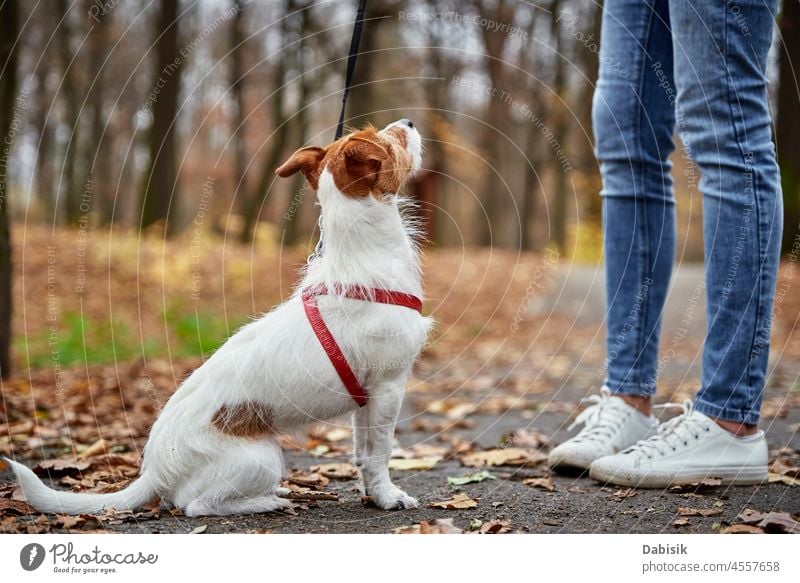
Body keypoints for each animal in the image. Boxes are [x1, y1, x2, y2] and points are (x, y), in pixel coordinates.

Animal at [6, 118, 432, 516]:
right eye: (389, 139)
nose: (409, 122)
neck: (362, 256)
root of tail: (153, 472)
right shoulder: (388, 387)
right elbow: (380, 452)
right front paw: (388, 496)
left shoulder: (368, 397)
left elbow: (362, 452)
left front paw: (371, 494)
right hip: (262, 456)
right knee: (198, 505)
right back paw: (267, 502)